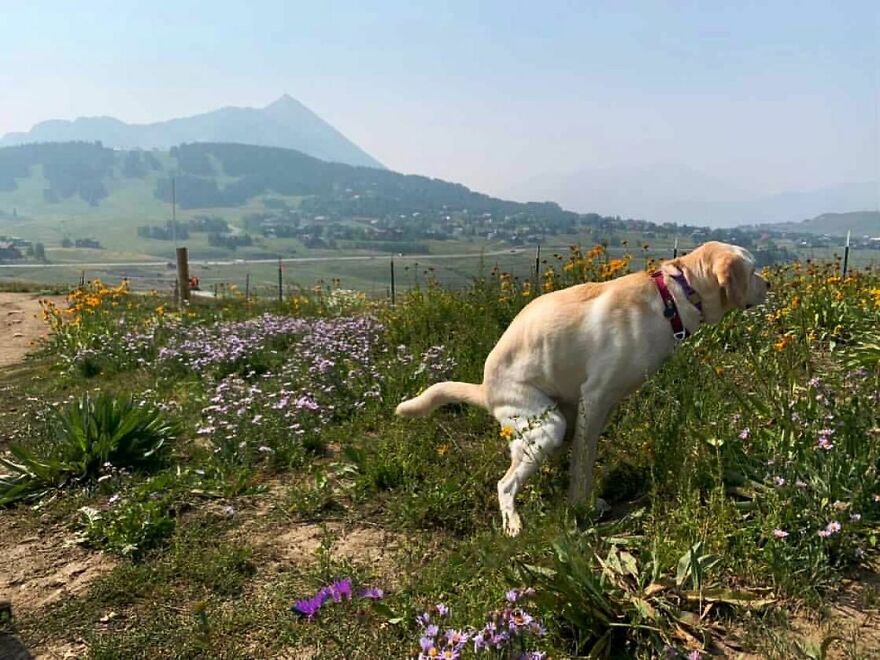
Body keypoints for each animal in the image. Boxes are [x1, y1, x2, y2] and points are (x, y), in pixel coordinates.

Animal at [398, 242, 768, 536]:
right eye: (752, 270)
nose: (769, 282)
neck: (673, 299)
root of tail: (485, 389)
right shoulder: (596, 396)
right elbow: (584, 462)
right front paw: (580, 506)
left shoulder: (598, 406)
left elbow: (582, 456)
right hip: (547, 424)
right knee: (505, 484)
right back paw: (513, 522)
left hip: (557, 421)